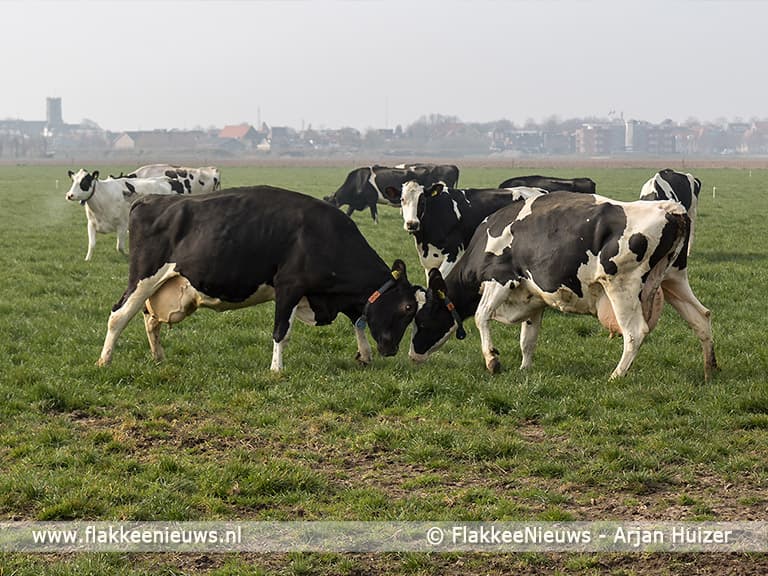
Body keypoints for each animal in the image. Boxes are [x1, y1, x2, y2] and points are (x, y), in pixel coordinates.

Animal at [95, 186, 420, 372]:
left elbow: (358, 320)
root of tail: (150, 199)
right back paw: (105, 360)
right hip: (143, 277)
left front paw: (364, 355)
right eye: (407, 308)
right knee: (119, 315)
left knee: (149, 320)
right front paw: (276, 369)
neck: (326, 236)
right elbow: (281, 332)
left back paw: (159, 357)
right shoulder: (289, 286)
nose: (391, 350)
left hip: (161, 285)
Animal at [324, 164, 459, 222]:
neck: (358, 181)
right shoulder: (356, 203)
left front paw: (376, 225)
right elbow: (348, 213)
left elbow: (374, 215)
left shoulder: (371, 200)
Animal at [409, 192, 716, 382]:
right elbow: (527, 339)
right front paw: (524, 368)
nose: (413, 355)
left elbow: (482, 317)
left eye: (421, 320)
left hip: (622, 286)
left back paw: (616, 376)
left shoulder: (500, 279)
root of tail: (670, 209)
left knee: (635, 332)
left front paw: (492, 360)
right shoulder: (533, 298)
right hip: (674, 279)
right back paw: (709, 370)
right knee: (702, 318)